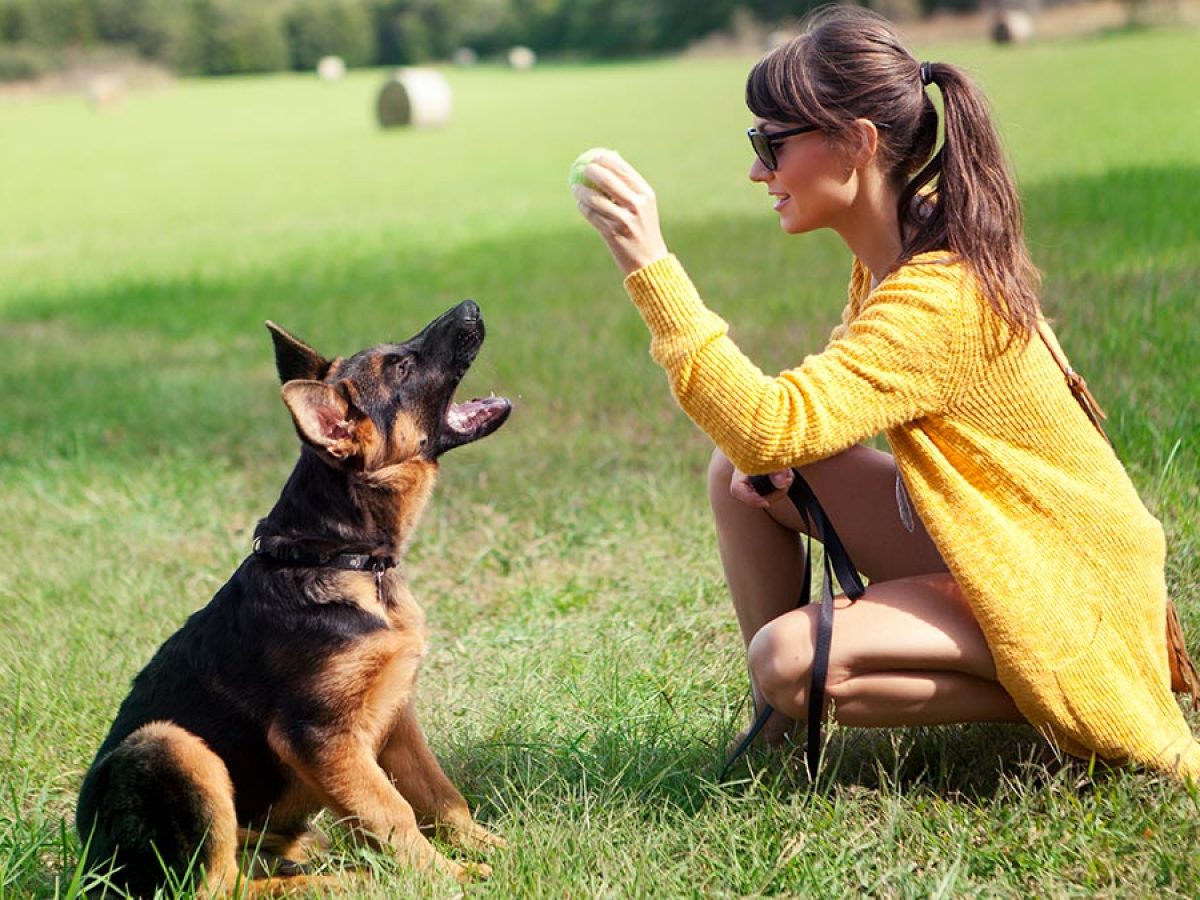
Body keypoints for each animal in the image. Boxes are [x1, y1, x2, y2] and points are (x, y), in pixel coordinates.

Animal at [73, 301, 516, 897]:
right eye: (401, 368)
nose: (470, 307)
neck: (338, 556)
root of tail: (92, 867)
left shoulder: (396, 720)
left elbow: (441, 797)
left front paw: (494, 849)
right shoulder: (320, 737)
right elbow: (392, 812)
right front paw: (446, 876)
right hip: (172, 748)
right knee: (222, 886)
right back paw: (348, 880)